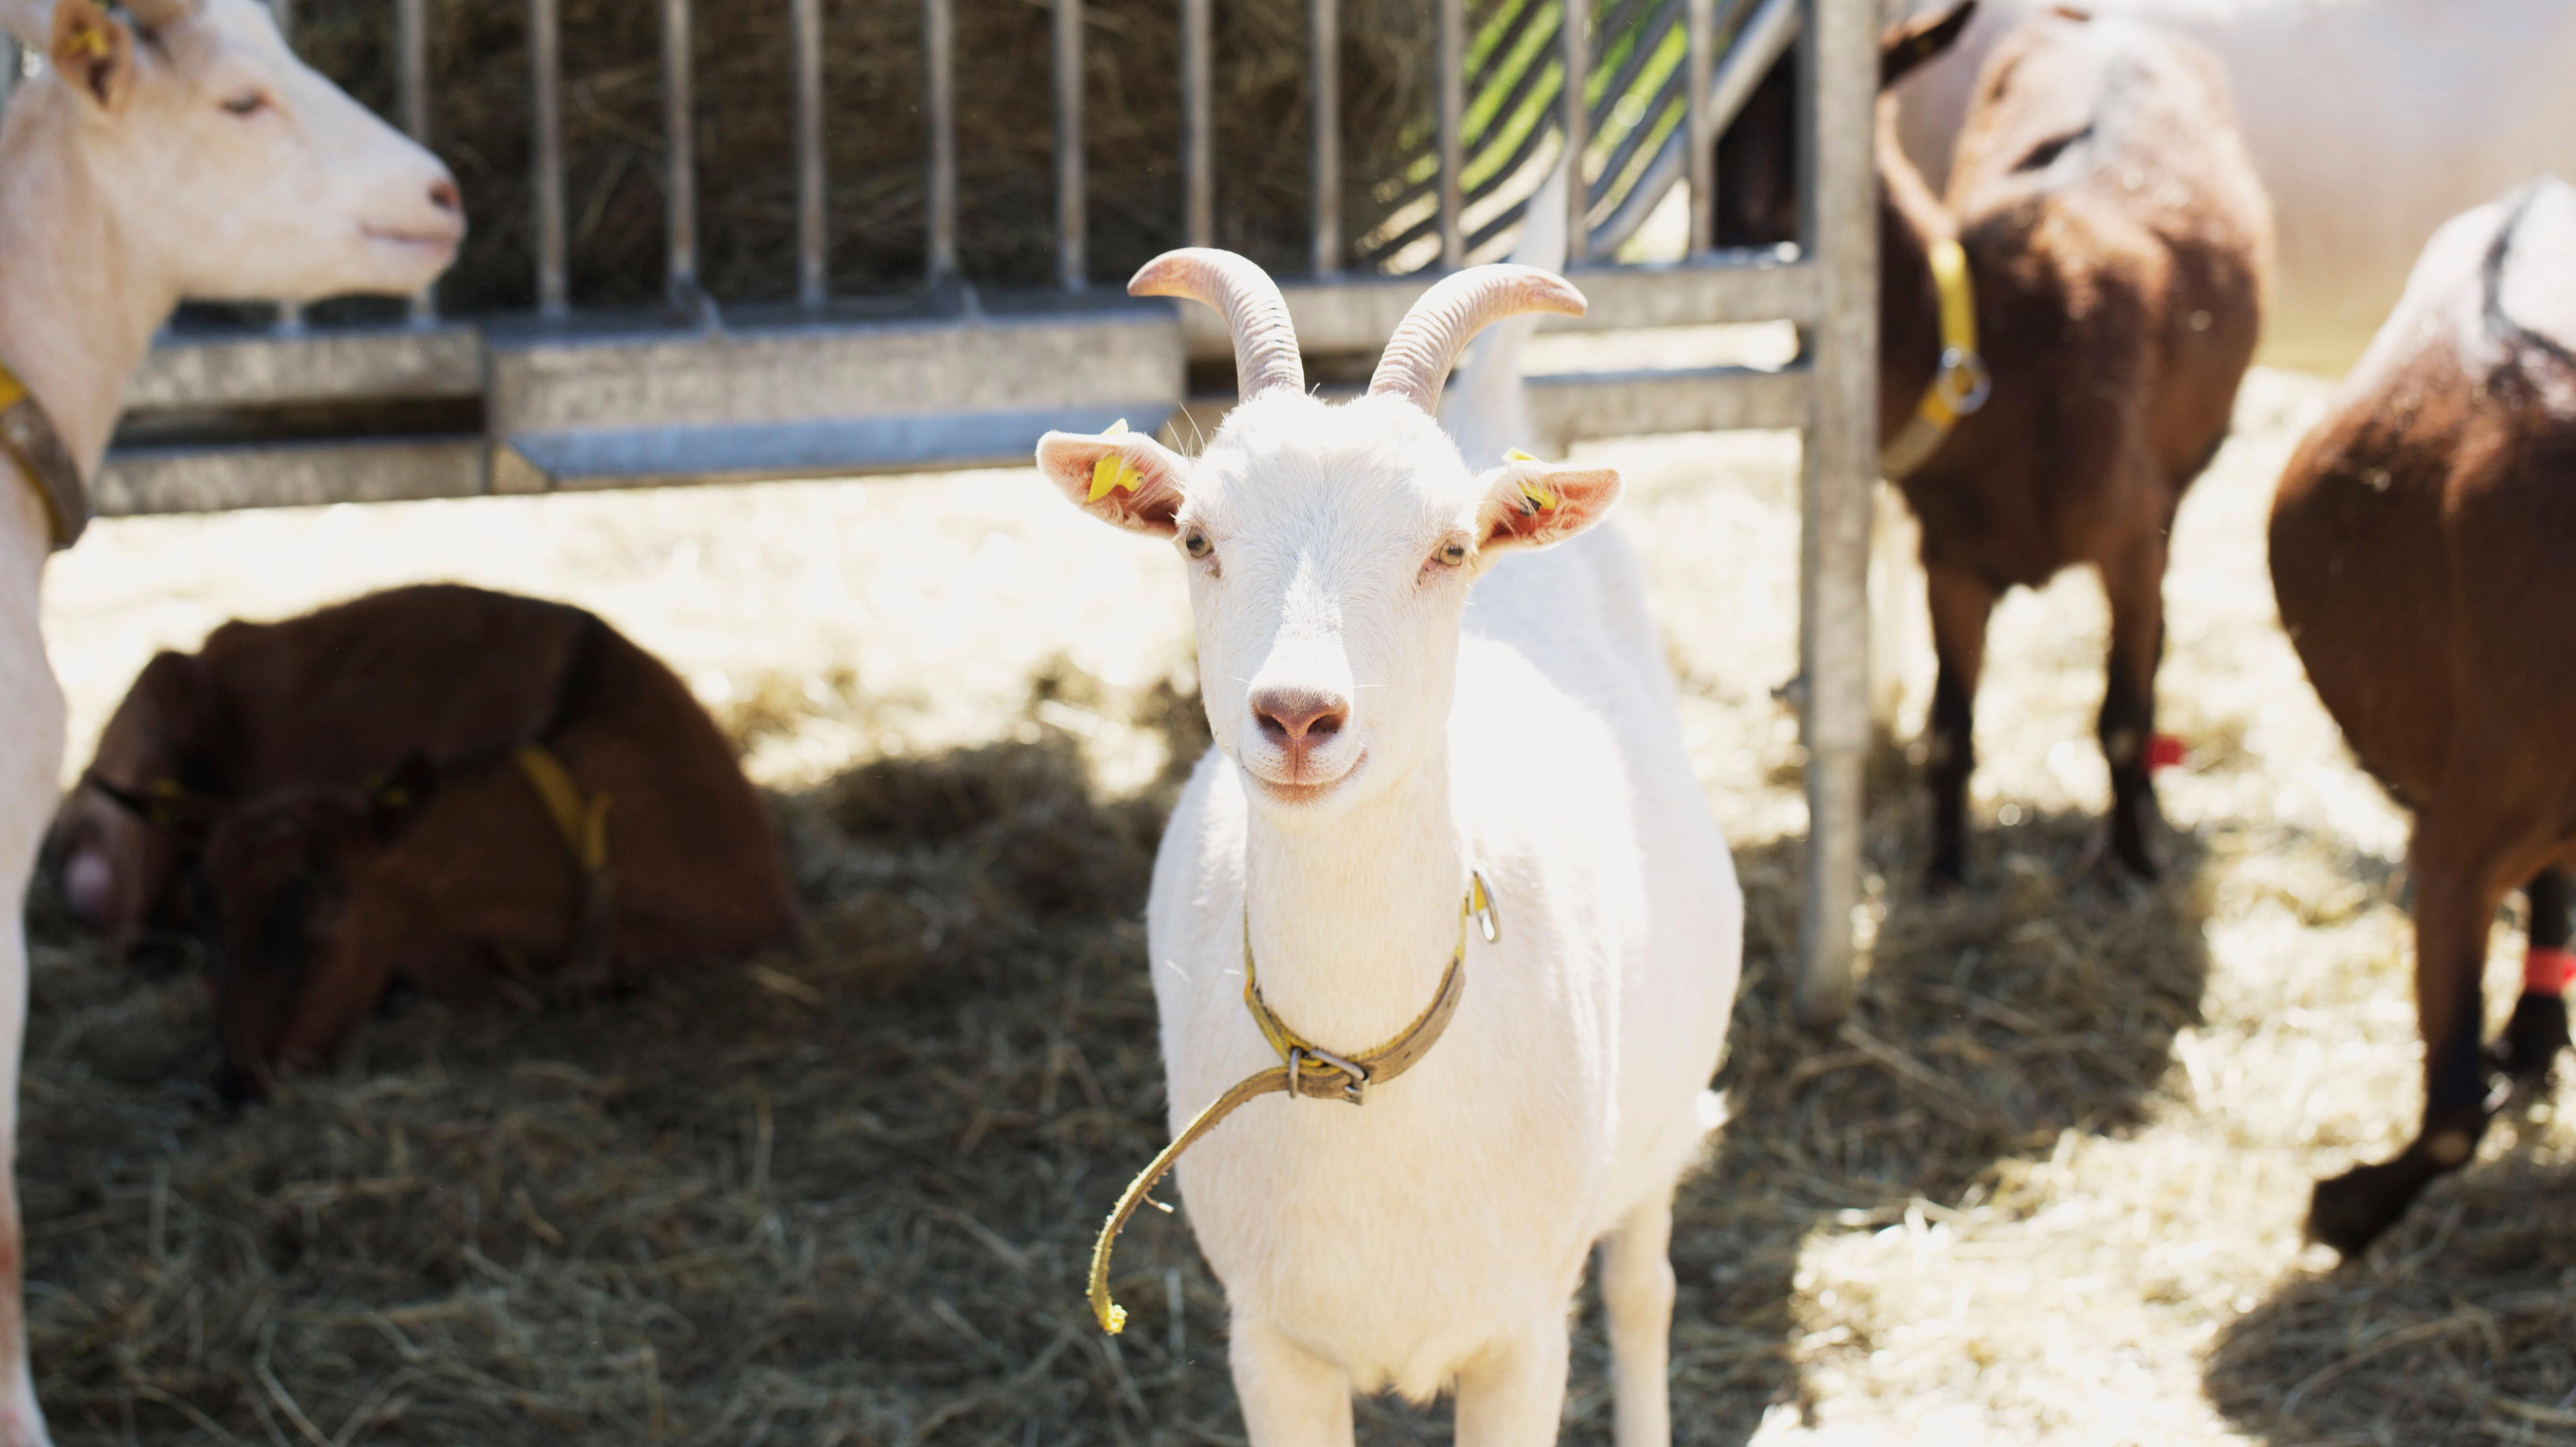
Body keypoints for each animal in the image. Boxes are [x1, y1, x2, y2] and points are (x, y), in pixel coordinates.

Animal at [1035, 237, 1741, 1431]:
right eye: (1195, 535)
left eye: (1448, 547)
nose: (1297, 715)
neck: (1368, 1070)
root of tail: (1492, 420)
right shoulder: (1273, 1346)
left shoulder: (1521, 1334)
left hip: (1656, 1124)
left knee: (1644, 1290)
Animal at [1875, 2, 2277, 880]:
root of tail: (2106, 22)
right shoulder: (1951, 557)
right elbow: (1950, 733)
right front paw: (1944, 871)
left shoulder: (2130, 542)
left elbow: (2121, 719)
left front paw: (2132, 860)